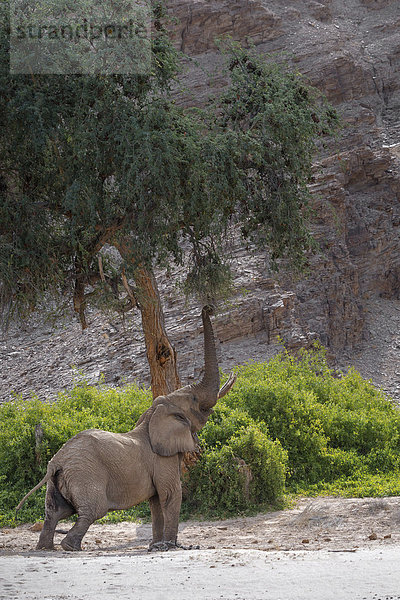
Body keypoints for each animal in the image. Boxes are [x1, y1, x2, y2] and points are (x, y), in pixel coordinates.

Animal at [15, 308, 236, 552]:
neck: (153, 414)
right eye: (196, 401)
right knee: (92, 510)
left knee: (54, 512)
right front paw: (169, 546)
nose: (207, 308)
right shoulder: (162, 459)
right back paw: (70, 547)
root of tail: (56, 462)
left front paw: (156, 546)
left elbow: (156, 502)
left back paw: (46, 548)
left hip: (59, 480)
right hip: (84, 474)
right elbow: (170, 495)